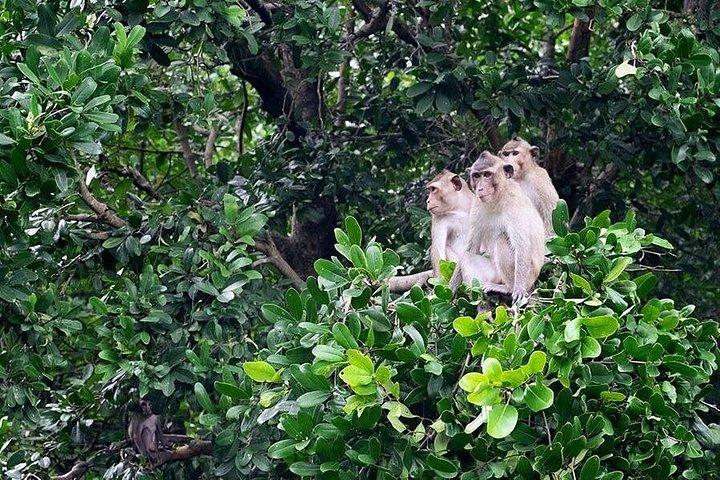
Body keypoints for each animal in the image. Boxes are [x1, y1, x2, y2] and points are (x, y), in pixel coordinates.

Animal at [450, 151, 545, 304]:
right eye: (476, 176)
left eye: (487, 174)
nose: (480, 188)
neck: (497, 198)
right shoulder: (476, 204)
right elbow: (471, 248)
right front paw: (450, 289)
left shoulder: (514, 203)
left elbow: (522, 245)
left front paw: (518, 289)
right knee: (467, 257)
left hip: (529, 276)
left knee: (502, 240)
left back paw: (508, 288)